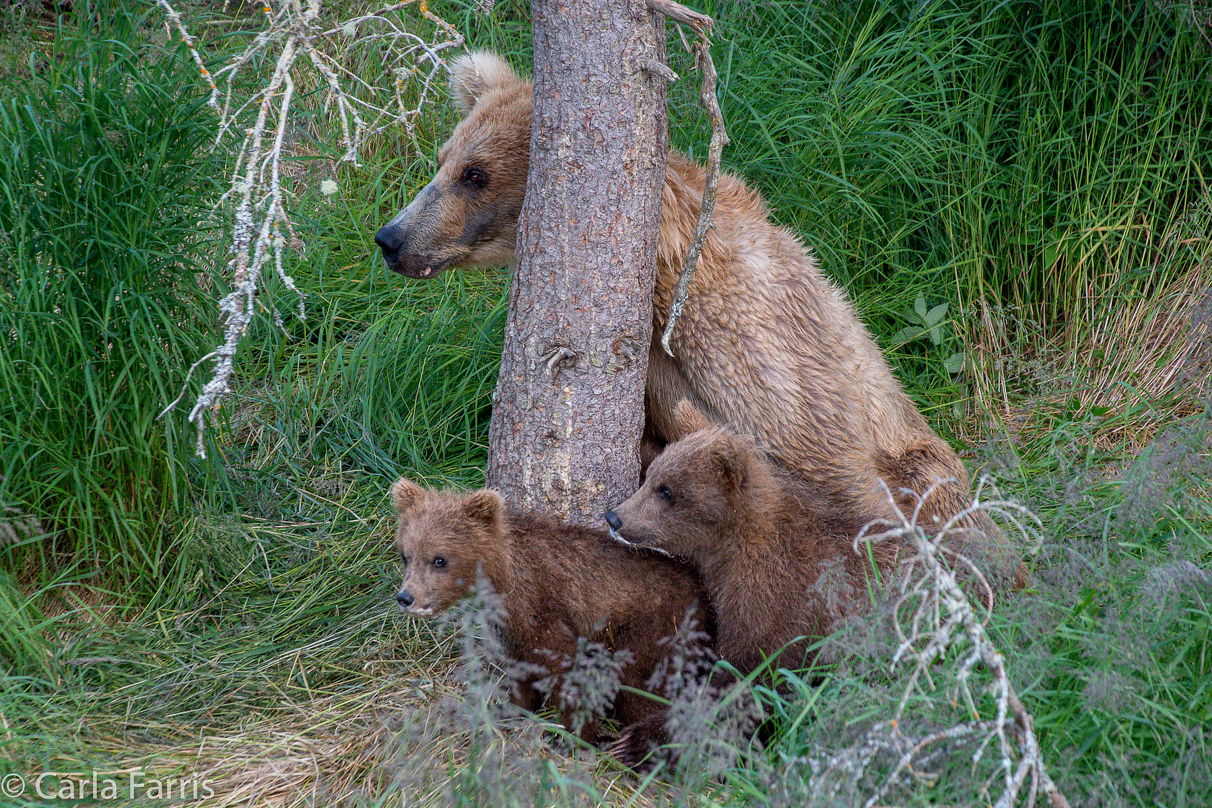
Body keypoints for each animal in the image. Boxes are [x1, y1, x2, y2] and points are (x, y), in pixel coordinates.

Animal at [378, 52, 984, 537]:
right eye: (442, 160)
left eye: (474, 174)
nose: (391, 238)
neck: (667, 282)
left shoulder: (763, 353)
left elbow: (820, 469)